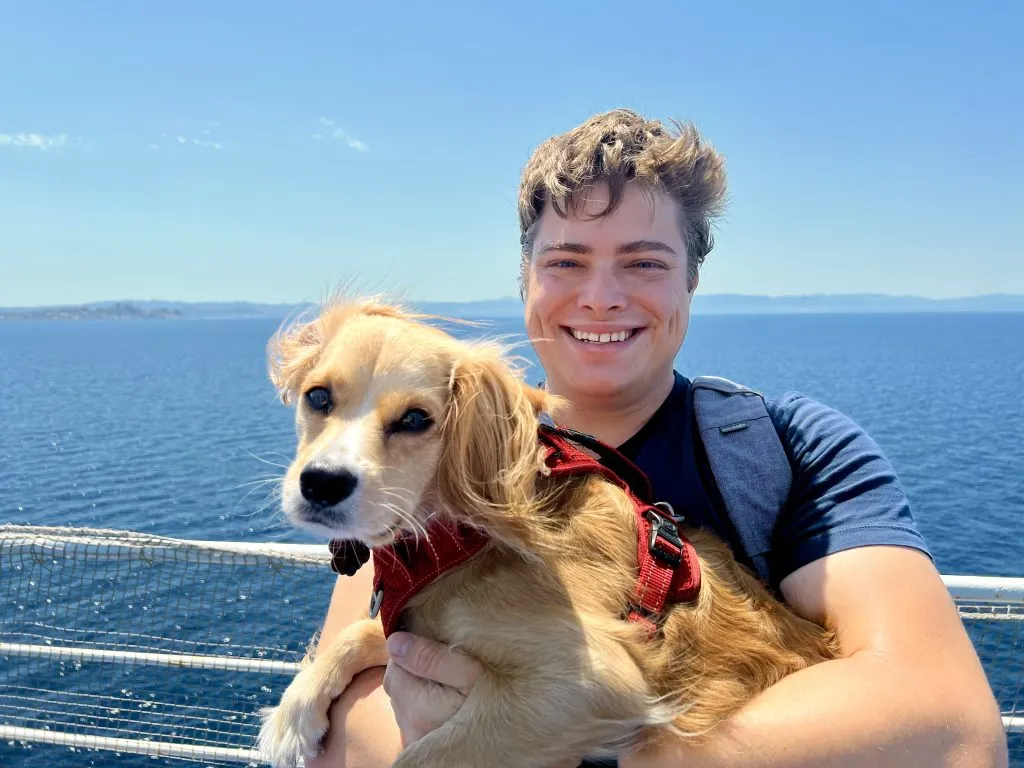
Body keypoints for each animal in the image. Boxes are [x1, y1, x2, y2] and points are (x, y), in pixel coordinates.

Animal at [256, 299, 839, 768]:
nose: (321, 483)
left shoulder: (595, 679)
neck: (462, 541)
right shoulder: (417, 625)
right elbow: (359, 632)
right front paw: (294, 714)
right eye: (318, 397)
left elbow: (419, 758)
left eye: (417, 419)